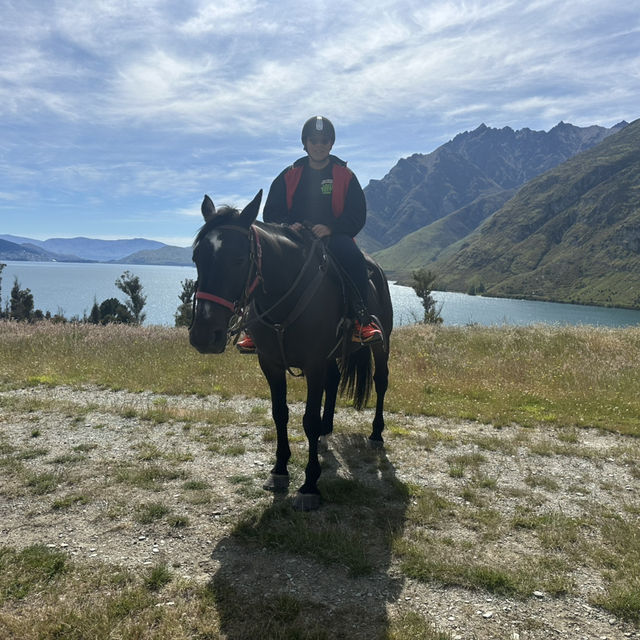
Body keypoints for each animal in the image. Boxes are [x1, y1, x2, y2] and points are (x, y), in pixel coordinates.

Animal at [188, 190, 392, 510]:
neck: (285, 298)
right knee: (334, 382)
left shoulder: (314, 364)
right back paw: (327, 431)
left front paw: (309, 485)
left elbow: (308, 420)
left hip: (381, 345)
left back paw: (375, 434)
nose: (204, 336)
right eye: (197, 258)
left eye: (238, 259)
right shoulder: (270, 363)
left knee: (380, 381)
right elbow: (279, 413)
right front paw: (280, 470)